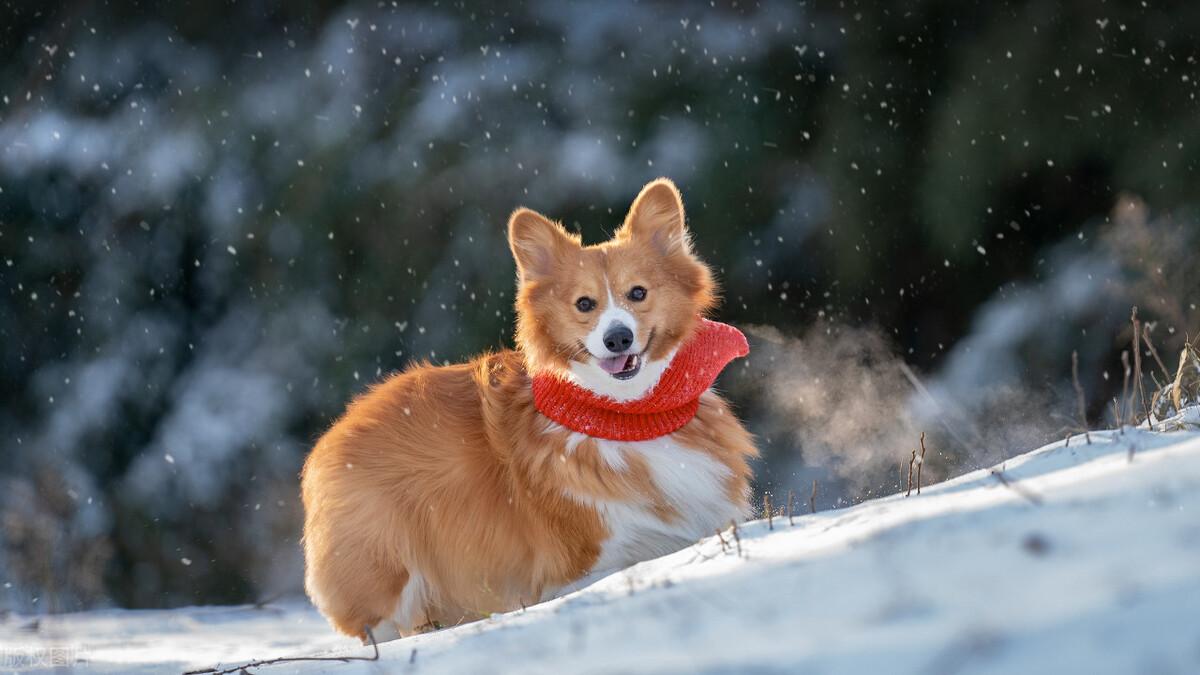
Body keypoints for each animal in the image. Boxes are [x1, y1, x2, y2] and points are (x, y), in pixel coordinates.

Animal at [300, 177, 758, 634]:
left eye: (638, 293)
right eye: (584, 303)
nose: (618, 338)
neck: (626, 416)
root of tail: (339, 425)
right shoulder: (578, 568)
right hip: (385, 569)